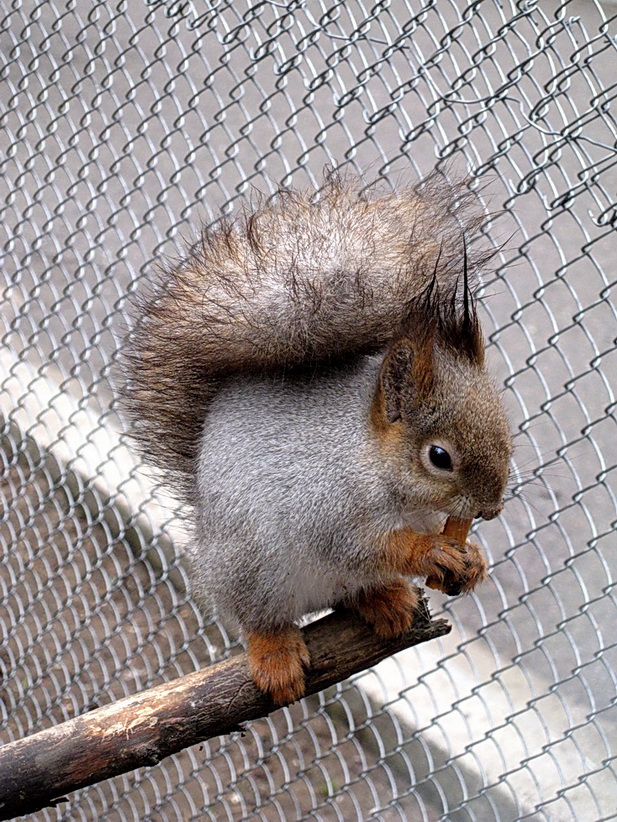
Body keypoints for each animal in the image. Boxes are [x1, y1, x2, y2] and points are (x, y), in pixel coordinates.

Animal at [120, 172, 510, 708]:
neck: (371, 460)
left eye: (506, 428)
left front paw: (473, 561)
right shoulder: (323, 501)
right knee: (258, 616)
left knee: (352, 590)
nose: (491, 509)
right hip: (250, 565)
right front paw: (430, 551)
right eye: (439, 456)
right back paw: (276, 653)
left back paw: (384, 599)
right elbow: (360, 545)